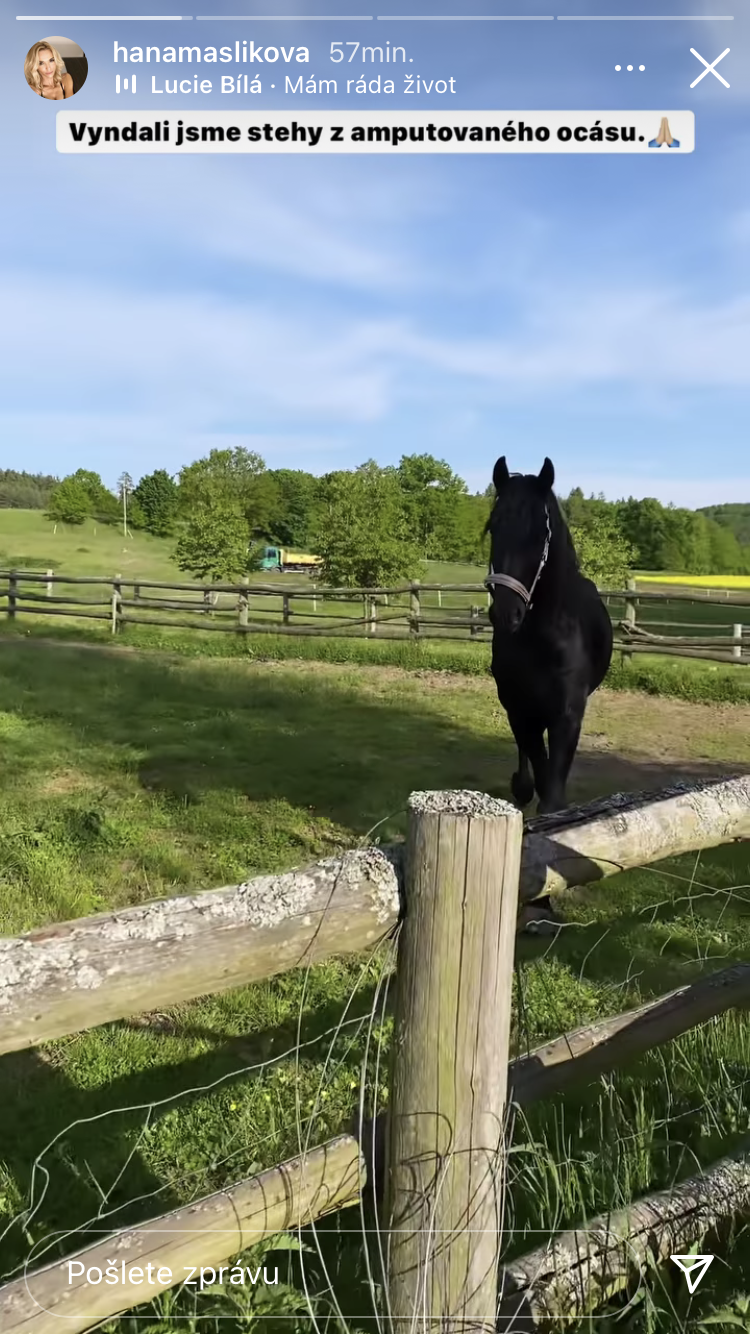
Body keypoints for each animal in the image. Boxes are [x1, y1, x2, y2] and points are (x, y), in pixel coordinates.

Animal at [480, 458, 611, 811]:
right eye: (493, 527)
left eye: (541, 533)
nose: (506, 614)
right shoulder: (517, 705)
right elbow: (537, 764)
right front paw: (524, 787)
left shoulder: (567, 714)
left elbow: (553, 793)